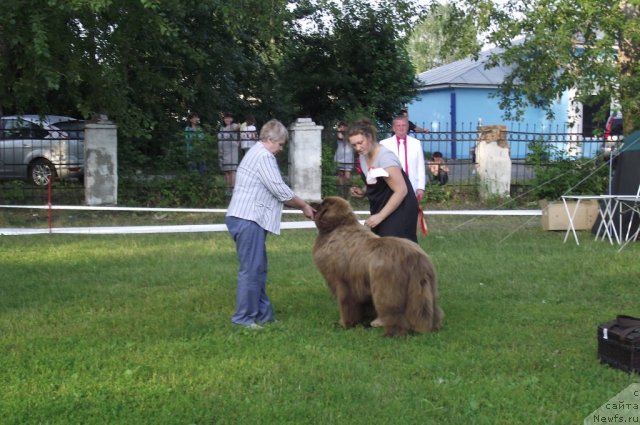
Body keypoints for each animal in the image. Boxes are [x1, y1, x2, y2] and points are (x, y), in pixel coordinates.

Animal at [312, 196, 442, 338]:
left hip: (387, 288)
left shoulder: (342, 281)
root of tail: (415, 257)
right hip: (423, 288)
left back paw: (391, 334)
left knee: (394, 313)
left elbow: (346, 304)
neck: (338, 227)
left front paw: (344, 324)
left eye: (322, 203)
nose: (311, 203)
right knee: (428, 310)